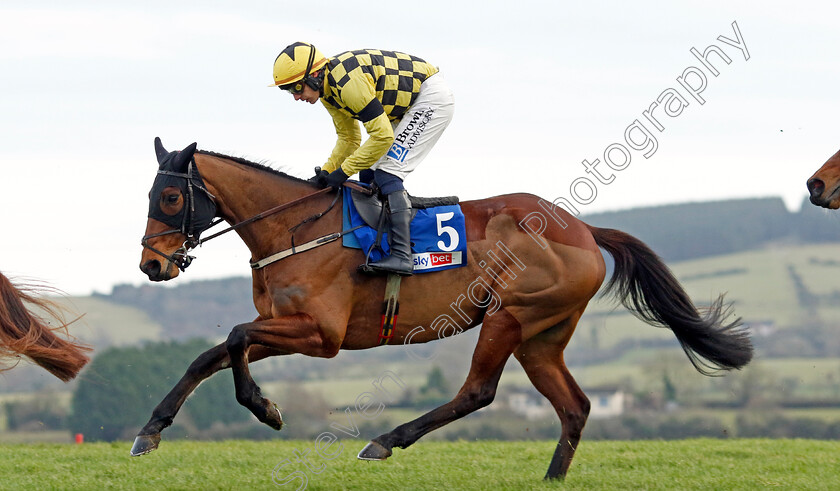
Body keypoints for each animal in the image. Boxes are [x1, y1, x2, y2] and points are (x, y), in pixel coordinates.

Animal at [135, 138, 752, 480]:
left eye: (170, 196)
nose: (152, 266)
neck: (294, 228)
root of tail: (579, 227)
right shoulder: (283, 325)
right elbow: (210, 354)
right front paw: (151, 430)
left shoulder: (320, 334)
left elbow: (235, 338)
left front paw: (265, 408)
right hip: (542, 337)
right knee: (574, 406)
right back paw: (551, 478)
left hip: (510, 315)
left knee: (478, 392)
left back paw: (385, 441)